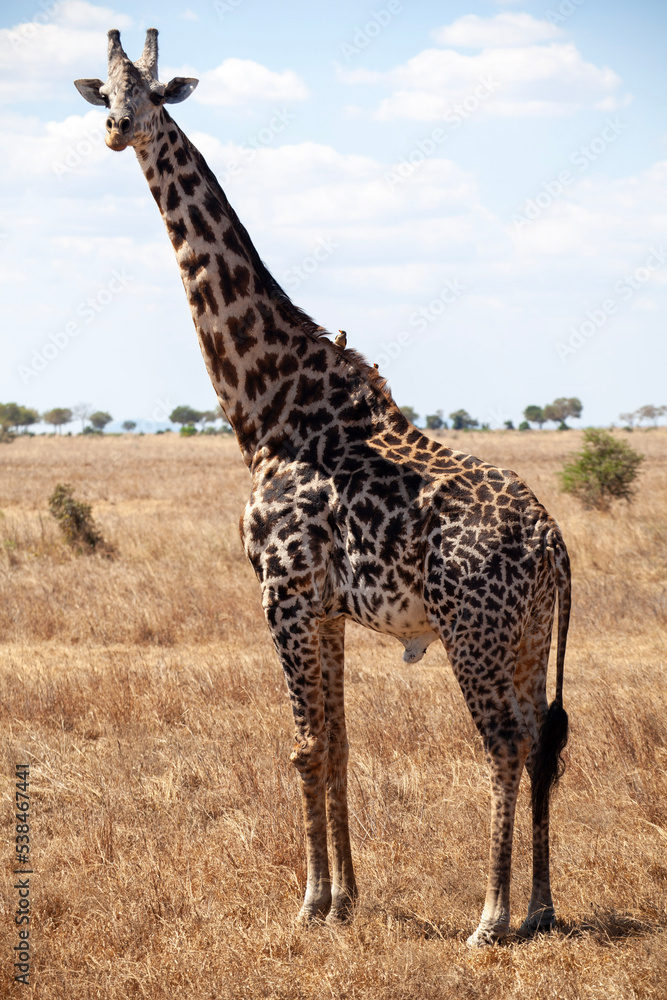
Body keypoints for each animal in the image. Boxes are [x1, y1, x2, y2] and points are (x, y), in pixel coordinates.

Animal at [75, 29, 571, 947]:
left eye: (155, 94)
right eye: (108, 92)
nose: (119, 130)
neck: (263, 407)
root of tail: (553, 542)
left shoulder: (283, 589)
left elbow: (304, 746)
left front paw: (308, 903)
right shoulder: (327, 604)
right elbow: (337, 744)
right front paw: (345, 900)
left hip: (475, 632)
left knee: (501, 744)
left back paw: (489, 918)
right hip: (524, 638)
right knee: (540, 739)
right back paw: (540, 908)